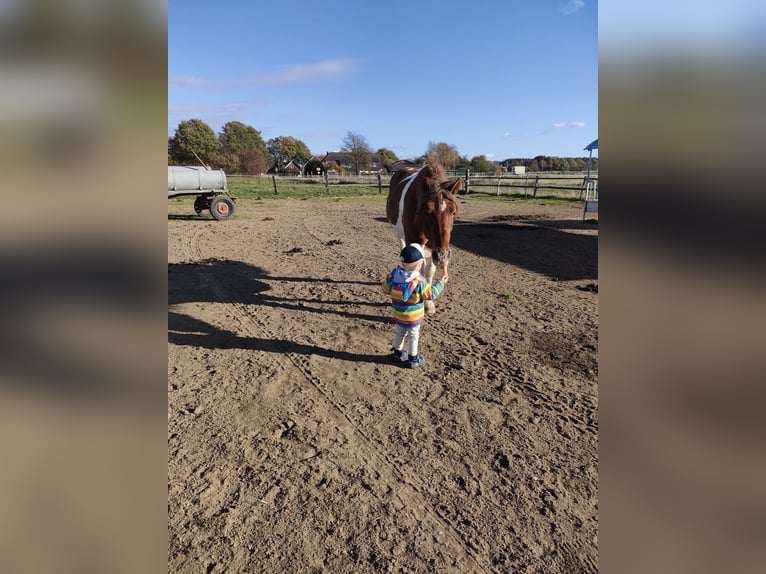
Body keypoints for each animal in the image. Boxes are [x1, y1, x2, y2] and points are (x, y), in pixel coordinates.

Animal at [390, 159, 462, 316]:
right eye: (427, 211)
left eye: (453, 212)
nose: (443, 256)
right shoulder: (414, 240)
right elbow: (418, 269)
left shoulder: (433, 247)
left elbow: (429, 271)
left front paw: (429, 303)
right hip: (400, 235)